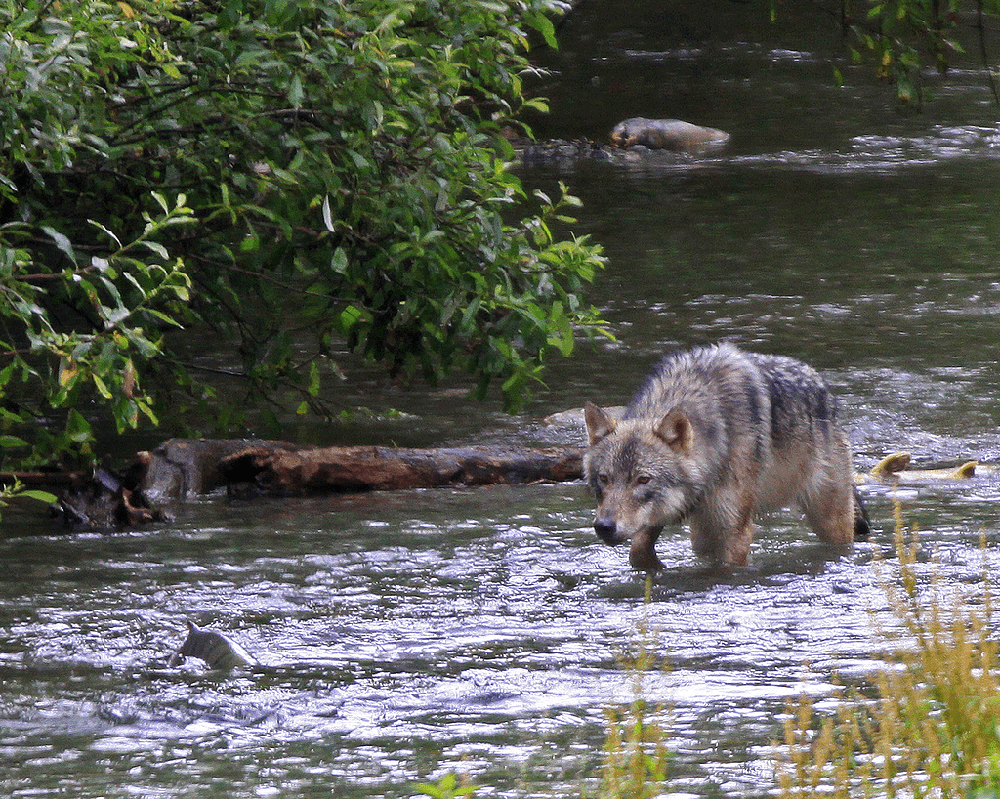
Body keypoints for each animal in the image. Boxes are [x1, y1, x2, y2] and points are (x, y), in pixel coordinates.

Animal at [584, 344, 872, 568]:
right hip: (702, 534)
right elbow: (638, 552)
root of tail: (827, 394)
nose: (604, 526)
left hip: (831, 521)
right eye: (604, 478)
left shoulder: (735, 531)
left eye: (643, 480)